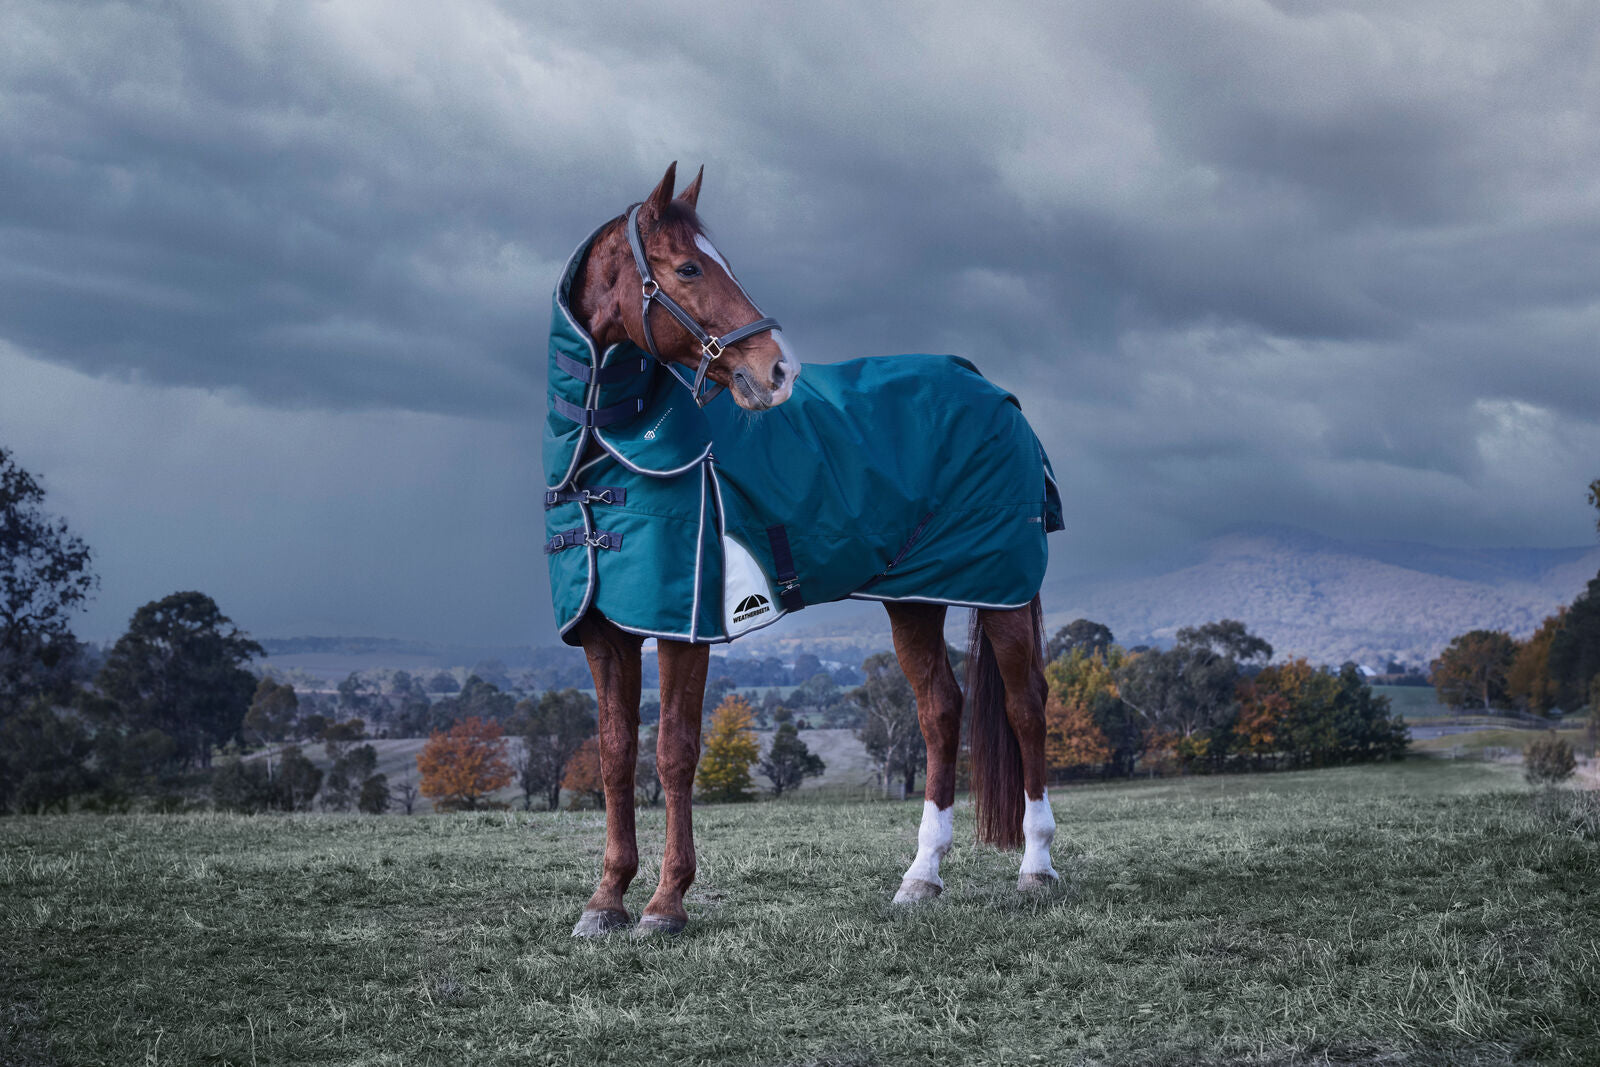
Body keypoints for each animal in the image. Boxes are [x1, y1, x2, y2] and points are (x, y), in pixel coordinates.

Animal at [545, 163, 1063, 936]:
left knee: (1026, 706)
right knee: (940, 711)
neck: (607, 459)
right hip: (914, 597)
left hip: (999, 586)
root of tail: (997, 393)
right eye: (690, 266)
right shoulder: (606, 634)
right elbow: (613, 757)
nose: (778, 371)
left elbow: (672, 753)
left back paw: (1036, 866)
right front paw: (605, 899)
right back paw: (921, 876)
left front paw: (666, 902)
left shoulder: (685, 626)